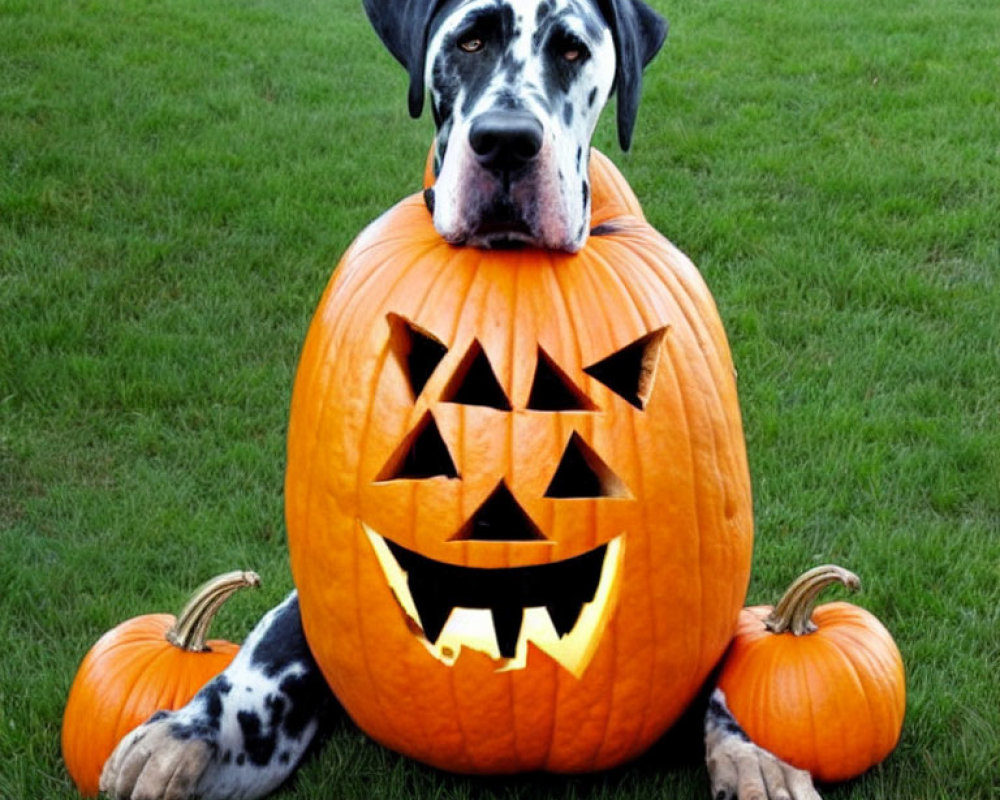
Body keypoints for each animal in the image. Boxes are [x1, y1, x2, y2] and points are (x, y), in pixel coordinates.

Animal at [99, 1, 820, 800]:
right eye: (468, 39)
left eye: (572, 50)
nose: (505, 141)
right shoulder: (309, 604)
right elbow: (264, 663)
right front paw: (187, 731)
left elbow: (723, 676)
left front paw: (751, 756)